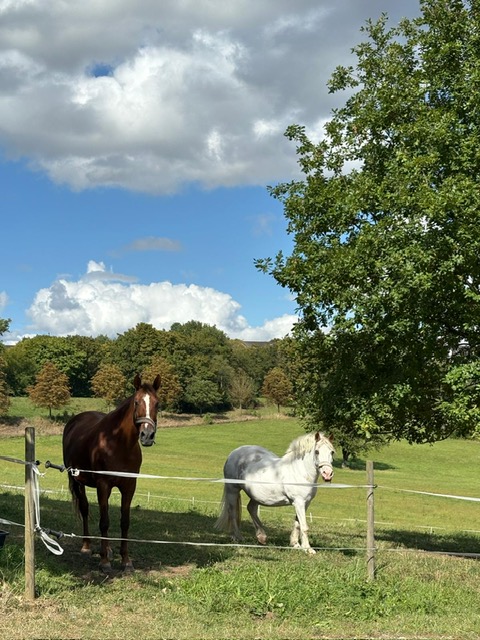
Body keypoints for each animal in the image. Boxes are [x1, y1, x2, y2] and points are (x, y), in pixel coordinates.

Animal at [62, 374, 161, 572]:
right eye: (137, 402)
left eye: (157, 403)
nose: (147, 435)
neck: (118, 443)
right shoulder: (103, 485)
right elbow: (104, 521)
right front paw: (104, 562)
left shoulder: (129, 486)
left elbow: (124, 522)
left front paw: (126, 560)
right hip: (77, 481)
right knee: (85, 509)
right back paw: (87, 546)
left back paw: (107, 549)